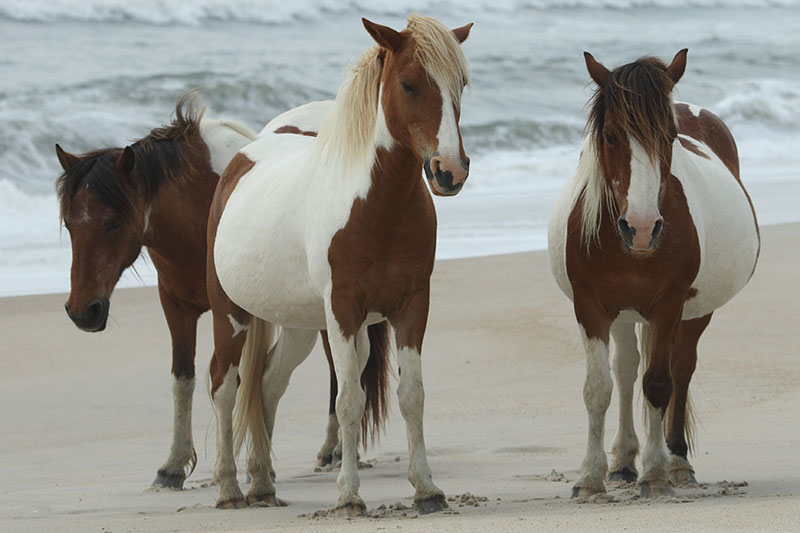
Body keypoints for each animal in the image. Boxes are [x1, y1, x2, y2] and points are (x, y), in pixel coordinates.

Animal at [55, 95, 389, 489]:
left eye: (113, 223)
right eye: (69, 224)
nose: (83, 311)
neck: (201, 205)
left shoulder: (238, 315)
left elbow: (243, 380)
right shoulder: (176, 306)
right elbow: (184, 378)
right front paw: (173, 466)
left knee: (338, 372)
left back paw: (334, 451)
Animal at [206, 14, 473, 515]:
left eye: (461, 85)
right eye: (409, 84)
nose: (449, 170)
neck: (375, 206)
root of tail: (242, 158)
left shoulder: (412, 306)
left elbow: (411, 395)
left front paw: (427, 489)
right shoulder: (345, 311)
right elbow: (349, 399)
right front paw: (349, 495)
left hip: (300, 326)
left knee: (267, 383)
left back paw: (263, 483)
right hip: (230, 314)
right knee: (225, 386)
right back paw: (230, 488)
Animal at [548, 49, 759, 498]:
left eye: (669, 137)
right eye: (610, 136)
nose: (642, 229)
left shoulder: (669, 306)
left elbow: (659, 384)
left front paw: (657, 474)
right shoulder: (590, 308)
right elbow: (599, 388)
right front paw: (590, 478)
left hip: (696, 311)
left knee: (680, 369)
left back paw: (676, 461)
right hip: (623, 314)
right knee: (627, 372)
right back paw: (625, 462)